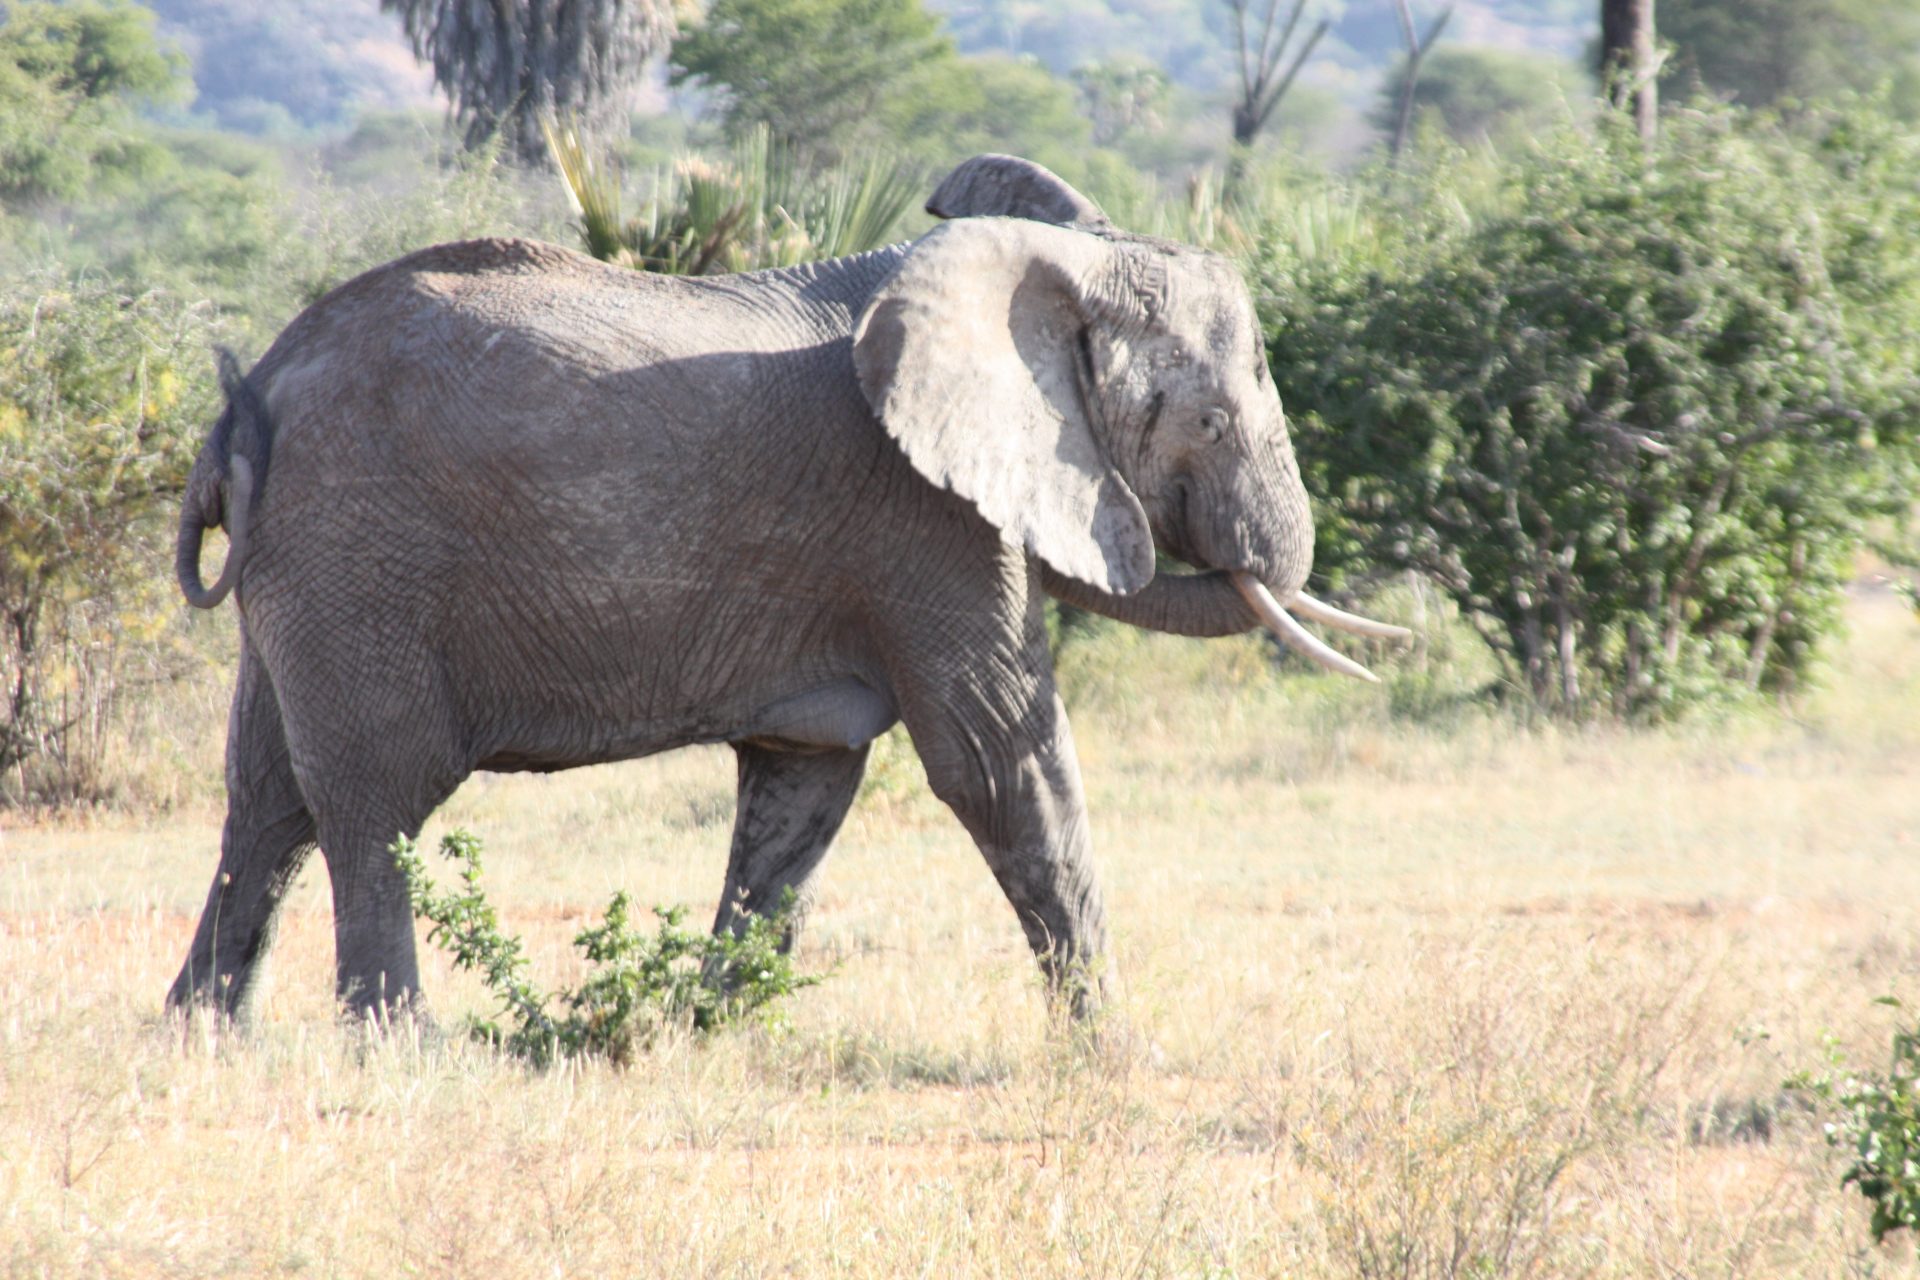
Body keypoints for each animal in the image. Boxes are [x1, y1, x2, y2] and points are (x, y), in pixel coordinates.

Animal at [172, 155, 1405, 1028]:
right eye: (1214, 417)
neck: (1047, 275)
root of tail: (246, 402)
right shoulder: (925, 517)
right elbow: (1005, 763)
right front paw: (1112, 1053)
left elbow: (803, 790)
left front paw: (712, 1037)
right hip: (357, 554)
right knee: (376, 798)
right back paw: (401, 1049)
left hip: (308, 565)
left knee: (266, 798)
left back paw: (203, 1040)